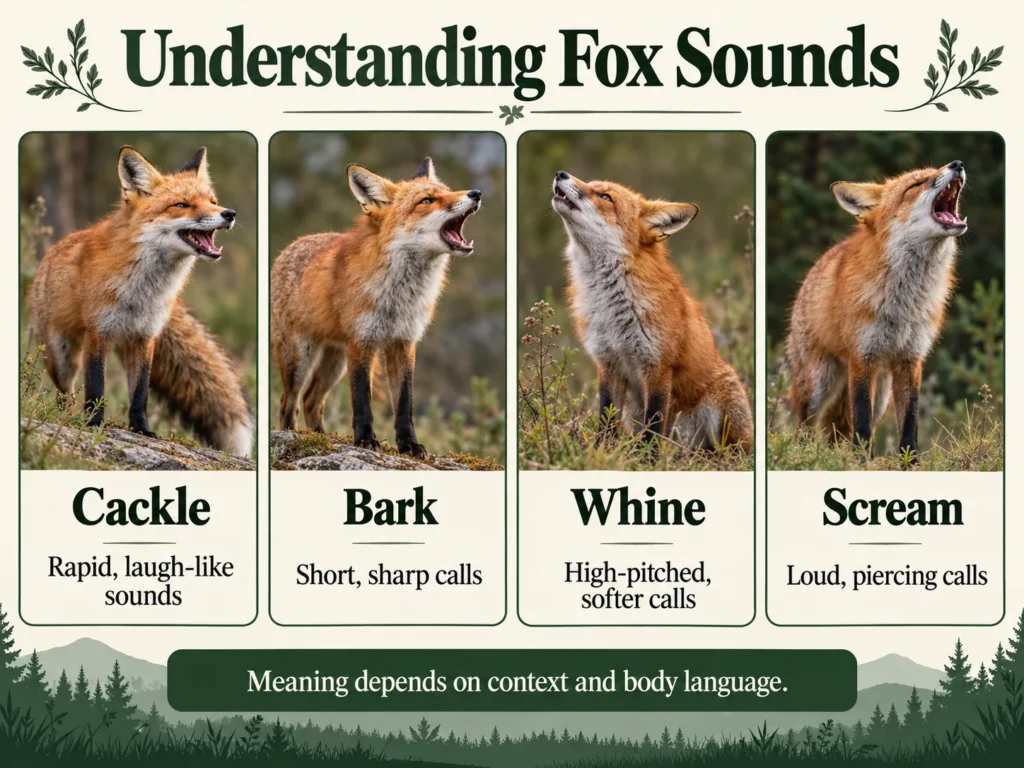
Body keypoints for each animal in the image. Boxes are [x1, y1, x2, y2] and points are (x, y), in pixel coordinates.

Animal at [30, 145, 254, 457]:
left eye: (212, 202)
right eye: (182, 205)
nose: (229, 213)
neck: (143, 294)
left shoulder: (146, 336)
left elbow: (140, 393)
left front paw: (142, 430)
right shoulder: (98, 332)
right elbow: (96, 387)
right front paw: (93, 424)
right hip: (61, 357)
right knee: (66, 392)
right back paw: (65, 415)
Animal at [271, 157, 480, 458]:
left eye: (449, 191)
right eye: (427, 200)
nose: (476, 193)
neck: (399, 298)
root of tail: (293, 244)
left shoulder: (403, 343)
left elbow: (404, 403)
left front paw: (409, 445)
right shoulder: (362, 343)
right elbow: (362, 401)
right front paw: (365, 441)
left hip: (335, 363)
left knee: (312, 401)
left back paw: (319, 437)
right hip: (300, 358)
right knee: (289, 401)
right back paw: (291, 434)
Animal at [551, 170, 753, 456]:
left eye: (605, 197)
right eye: (591, 186)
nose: (561, 173)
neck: (613, 309)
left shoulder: (657, 365)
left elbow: (654, 423)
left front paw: (647, 459)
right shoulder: (608, 362)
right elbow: (606, 418)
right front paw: (602, 453)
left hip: (722, 411)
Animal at [785, 160, 969, 458]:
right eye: (915, 184)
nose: (957, 164)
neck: (905, 305)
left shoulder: (911, 358)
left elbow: (910, 420)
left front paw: (909, 461)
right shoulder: (863, 357)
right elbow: (861, 421)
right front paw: (860, 460)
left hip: (881, 395)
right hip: (818, 383)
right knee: (805, 427)